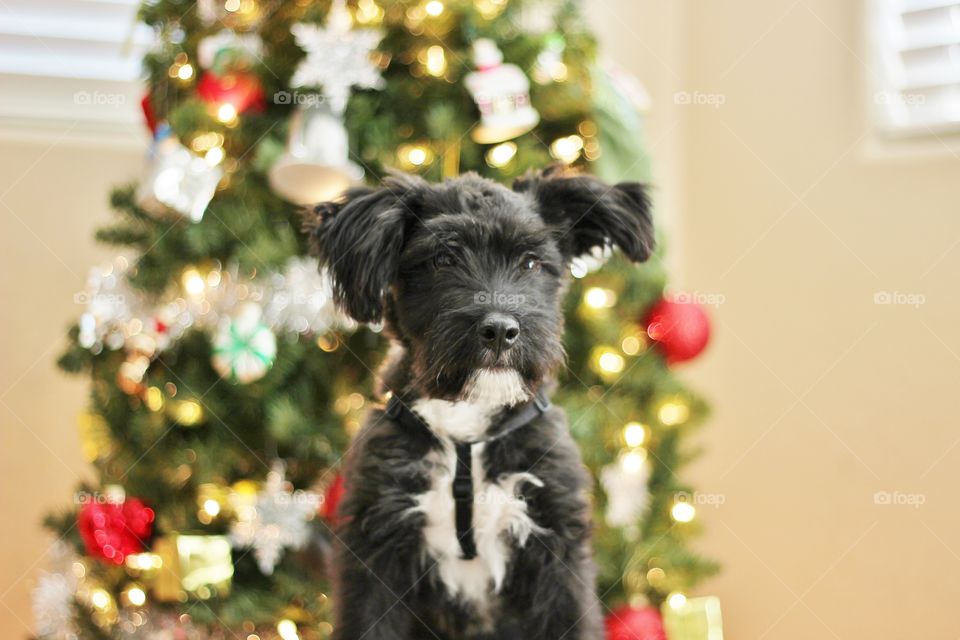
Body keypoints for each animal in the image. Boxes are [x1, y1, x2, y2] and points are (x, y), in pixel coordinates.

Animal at [306, 166, 652, 640]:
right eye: (443, 260)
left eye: (530, 262)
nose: (501, 330)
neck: (466, 424)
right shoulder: (376, 549)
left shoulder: (557, 550)